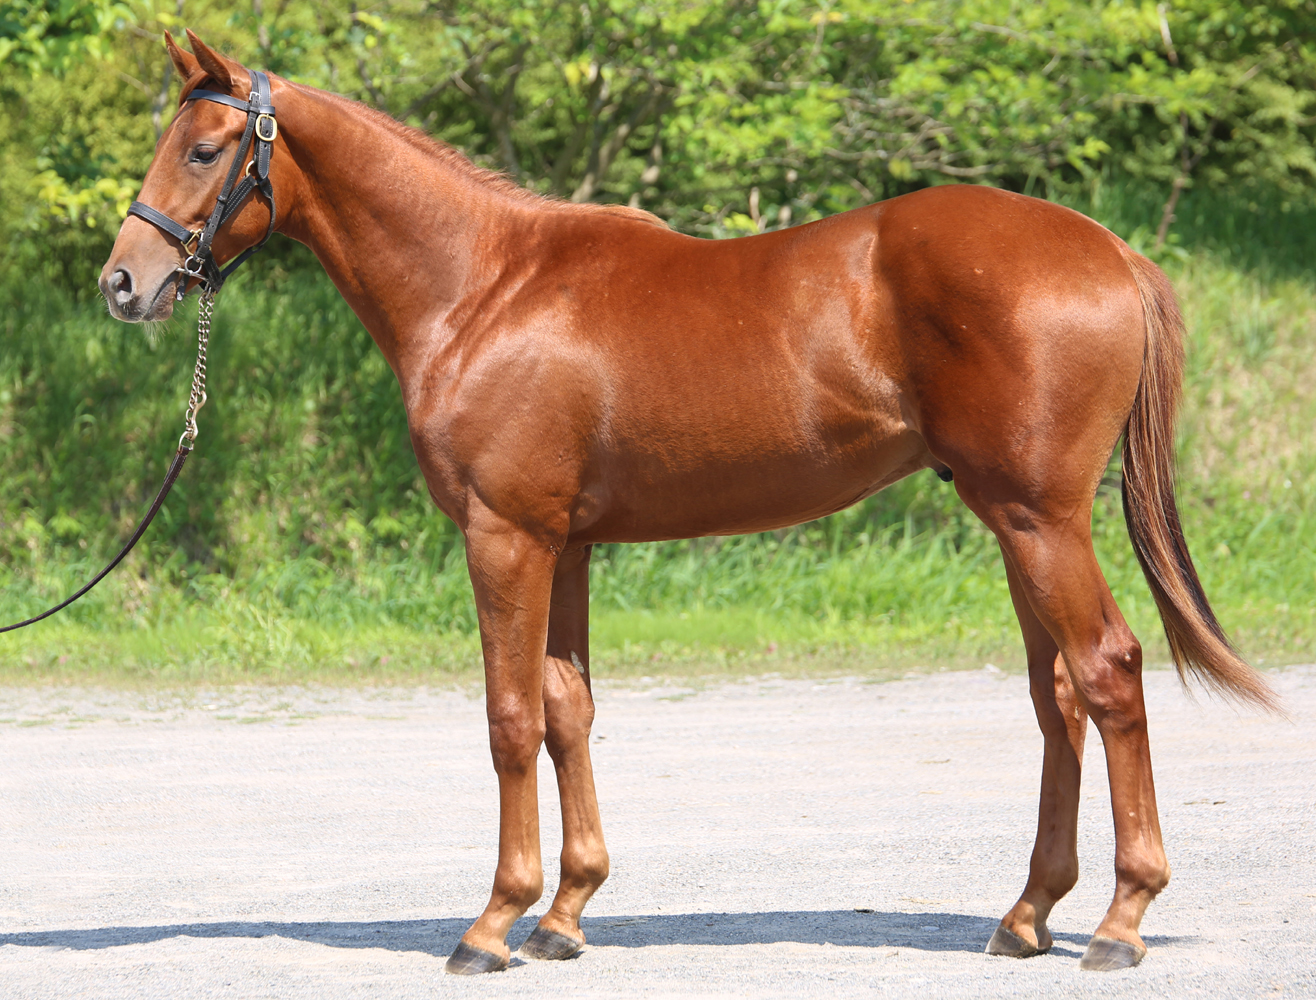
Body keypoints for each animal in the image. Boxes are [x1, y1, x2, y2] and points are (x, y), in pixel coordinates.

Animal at [99, 31, 1274, 976]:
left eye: (203, 150)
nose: (123, 282)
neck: (482, 289)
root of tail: (1108, 250)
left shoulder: (504, 538)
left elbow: (509, 718)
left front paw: (493, 923)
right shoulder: (565, 545)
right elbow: (567, 710)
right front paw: (564, 913)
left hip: (1040, 521)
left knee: (1107, 672)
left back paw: (1119, 922)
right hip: (1013, 524)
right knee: (1055, 696)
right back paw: (1027, 915)